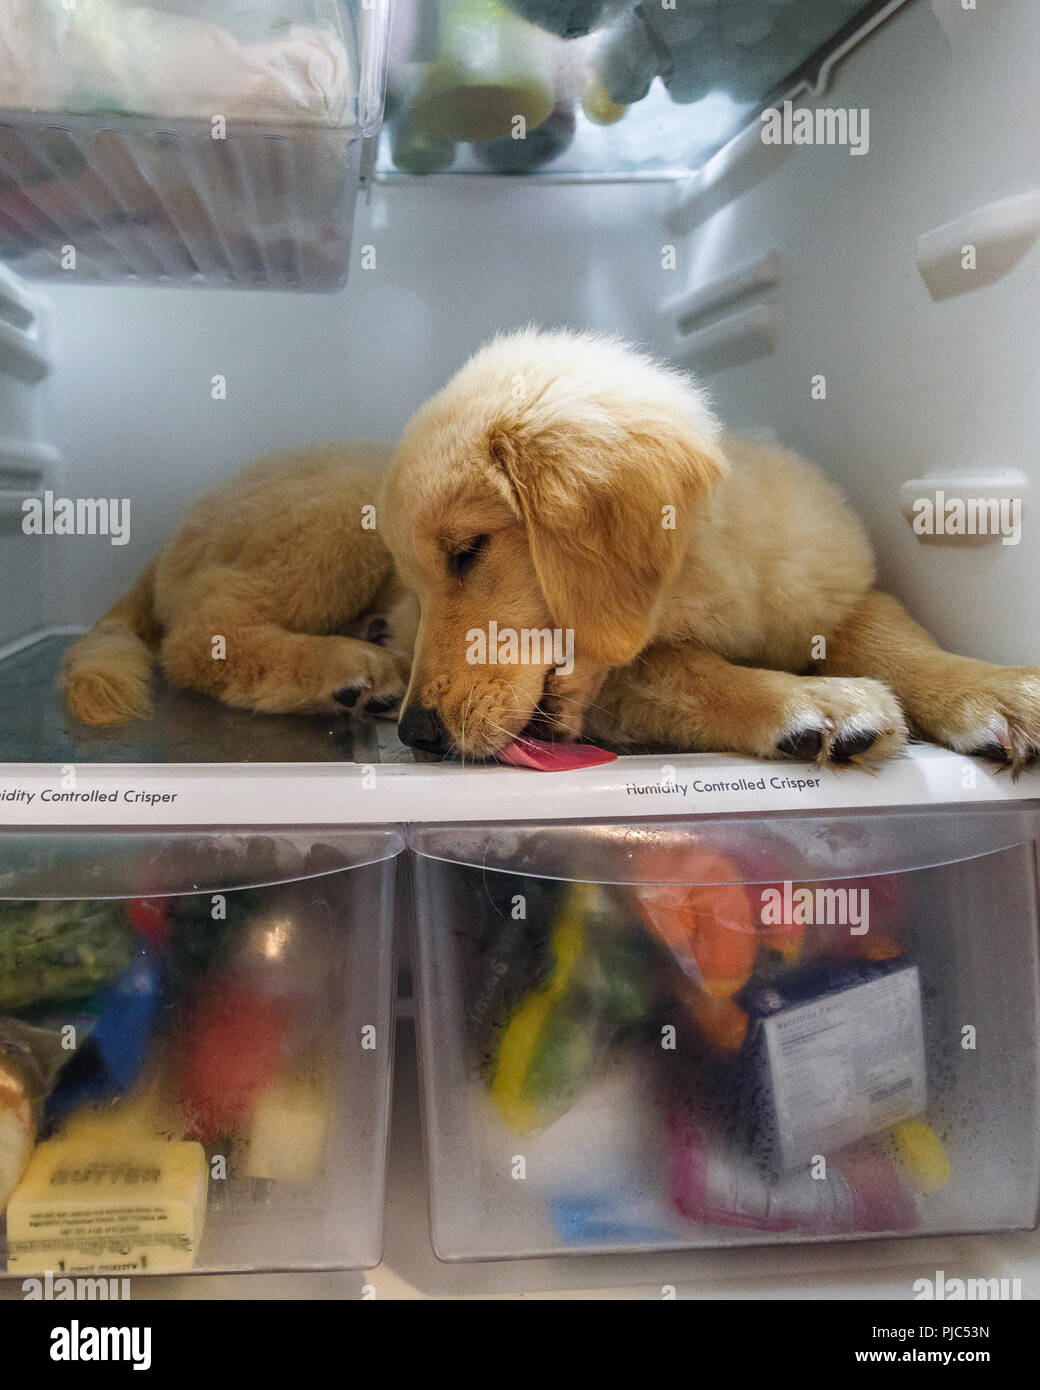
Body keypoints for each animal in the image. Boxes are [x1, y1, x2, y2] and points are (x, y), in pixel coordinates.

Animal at [380, 332, 1040, 778]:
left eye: (468, 551)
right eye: (417, 586)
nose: (416, 734)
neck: (700, 585)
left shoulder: (829, 585)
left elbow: (894, 635)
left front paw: (996, 690)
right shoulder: (627, 688)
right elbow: (681, 669)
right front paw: (814, 703)